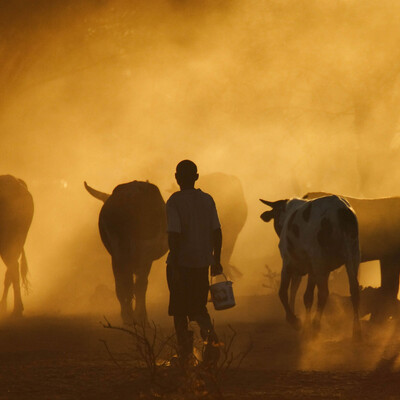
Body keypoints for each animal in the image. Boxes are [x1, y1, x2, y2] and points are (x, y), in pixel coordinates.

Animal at [84, 180, 167, 324]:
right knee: (138, 285)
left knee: (122, 285)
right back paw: (140, 318)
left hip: (117, 253)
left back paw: (127, 318)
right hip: (141, 252)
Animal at [260, 196, 360, 338]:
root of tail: (340, 210)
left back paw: (316, 325)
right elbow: (307, 296)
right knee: (354, 290)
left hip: (320, 260)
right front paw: (305, 327)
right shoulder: (313, 269)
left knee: (323, 293)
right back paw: (356, 332)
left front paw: (294, 320)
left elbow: (282, 292)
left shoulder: (288, 263)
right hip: (352, 256)